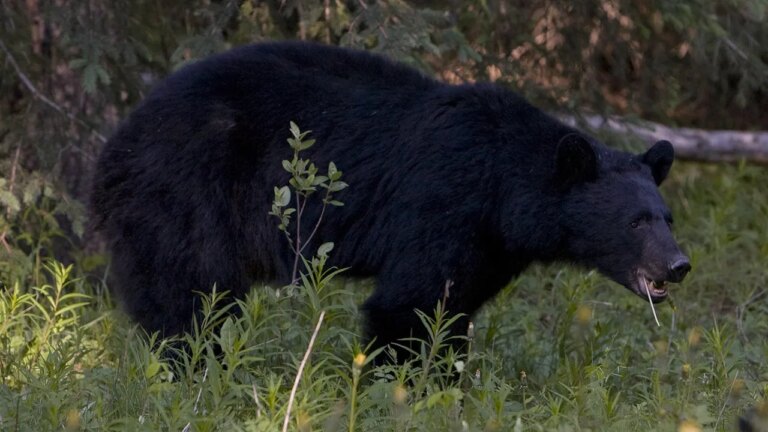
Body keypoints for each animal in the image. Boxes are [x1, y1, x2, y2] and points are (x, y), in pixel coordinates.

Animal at [90, 41, 688, 352]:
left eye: (667, 217)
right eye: (636, 222)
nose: (679, 264)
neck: (503, 189)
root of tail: (113, 146)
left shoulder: (489, 246)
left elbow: (454, 306)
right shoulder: (442, 206)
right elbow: (407, 305)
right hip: (184, 193)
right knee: (190, 292)